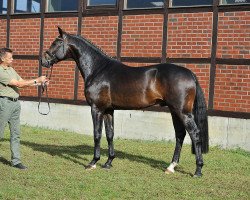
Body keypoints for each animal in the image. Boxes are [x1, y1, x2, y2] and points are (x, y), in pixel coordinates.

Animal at [41, 27, 209, 177]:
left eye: (56, 43)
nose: (43, 60)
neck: (98, 69)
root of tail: (190, 74)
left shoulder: (96, 109)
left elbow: (97, 134)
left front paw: (93, 162)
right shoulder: (108, 110)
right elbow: (110, 134)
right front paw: (108, 162)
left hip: (182, 112)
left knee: (194, 134)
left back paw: (198, 170)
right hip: (175, 111)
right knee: (180, 135)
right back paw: (171, 167)